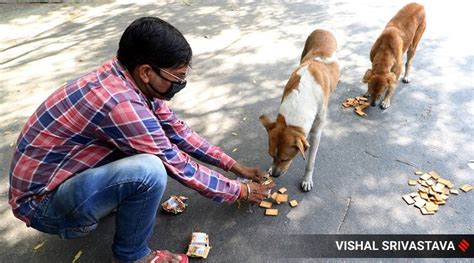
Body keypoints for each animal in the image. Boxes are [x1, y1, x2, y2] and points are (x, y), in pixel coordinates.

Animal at [260, 29, 340, 192]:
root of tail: (323, 29)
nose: (275, 175)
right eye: (271, 155)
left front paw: (307, 179)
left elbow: (310, 161)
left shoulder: (316, 133)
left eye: (286, 159)